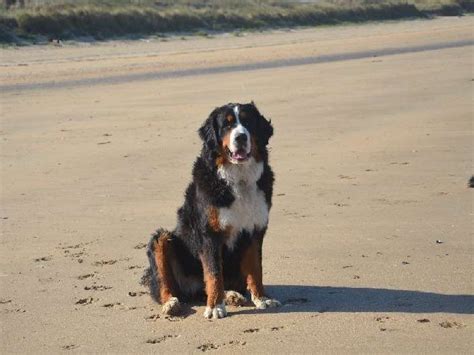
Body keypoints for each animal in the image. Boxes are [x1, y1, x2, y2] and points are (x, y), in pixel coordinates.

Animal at [143, 101, 280, 320]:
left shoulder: (255, 230)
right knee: (167, 285)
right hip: (161, 239)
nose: (241, 137)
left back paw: (232, 295)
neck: (239, 179)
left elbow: (256, 269)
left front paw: (262, 298)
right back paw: (172, 304)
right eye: (227, 125)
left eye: (248, 122)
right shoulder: (210, 234)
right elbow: (214, 273)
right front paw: (215, 307)